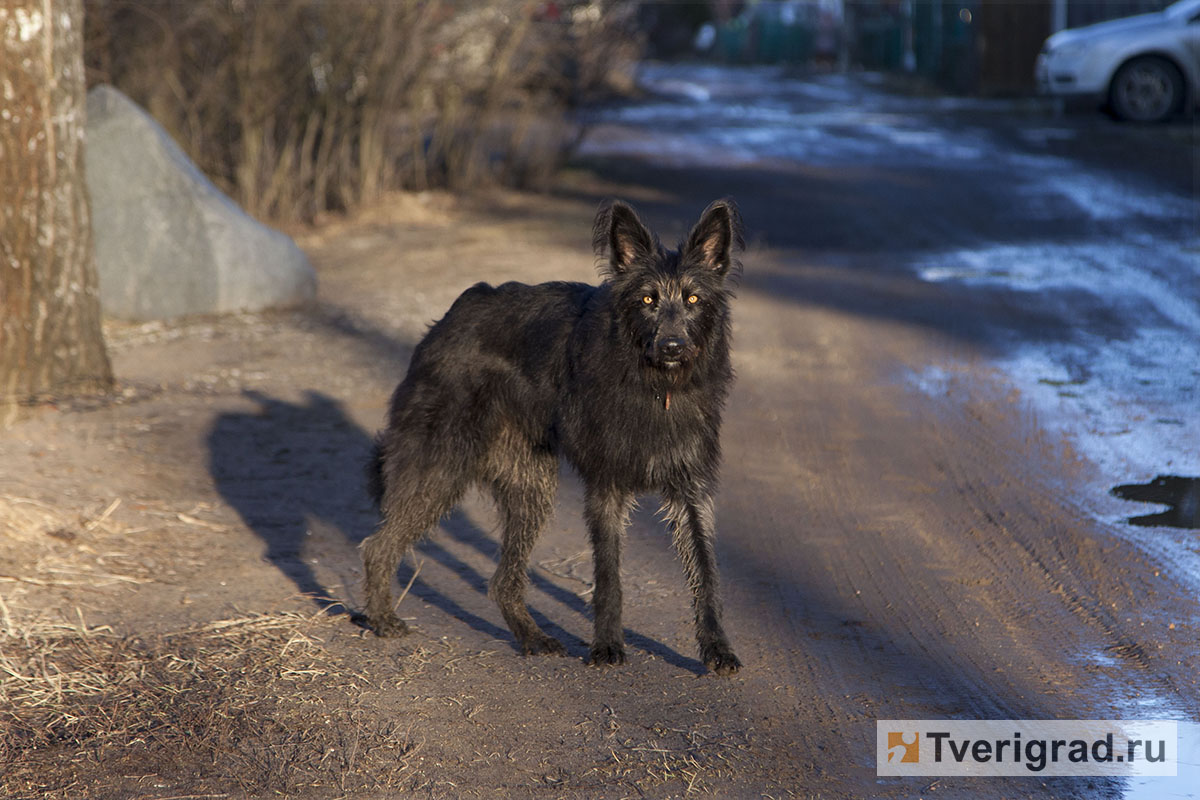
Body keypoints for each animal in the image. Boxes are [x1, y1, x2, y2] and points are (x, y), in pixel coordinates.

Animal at [360, 196, 744, 671]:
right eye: (647, 299)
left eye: (693, 298)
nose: (672, 347)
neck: (657, 388)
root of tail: (456, 311)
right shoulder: (606, 488)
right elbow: (608, 576)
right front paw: (607, 646)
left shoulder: (692, 489)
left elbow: (706, 574)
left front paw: (717, 648)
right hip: (441, 468)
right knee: (379, 546)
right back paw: (382, 619)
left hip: (531, 488)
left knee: (502, 581)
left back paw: (534, 638)